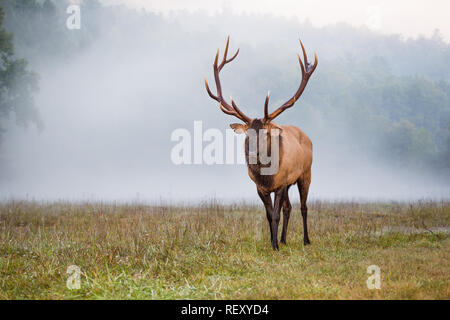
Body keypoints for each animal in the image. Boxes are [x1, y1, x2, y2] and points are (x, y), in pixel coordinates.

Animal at [204, 35, 316, 250]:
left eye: (265, 134)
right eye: (247, 134)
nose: (251, 152)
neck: (267, 177)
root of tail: (305, 135)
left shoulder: (280, 184)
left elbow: (276, 215)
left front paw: (275, 246)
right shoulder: (260, 187)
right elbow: (269, 215)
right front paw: (273, 242)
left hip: (305, 173)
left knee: (304, 206)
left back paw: (306, 240)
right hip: (290, 182)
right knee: (289, 207)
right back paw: (284, 239)